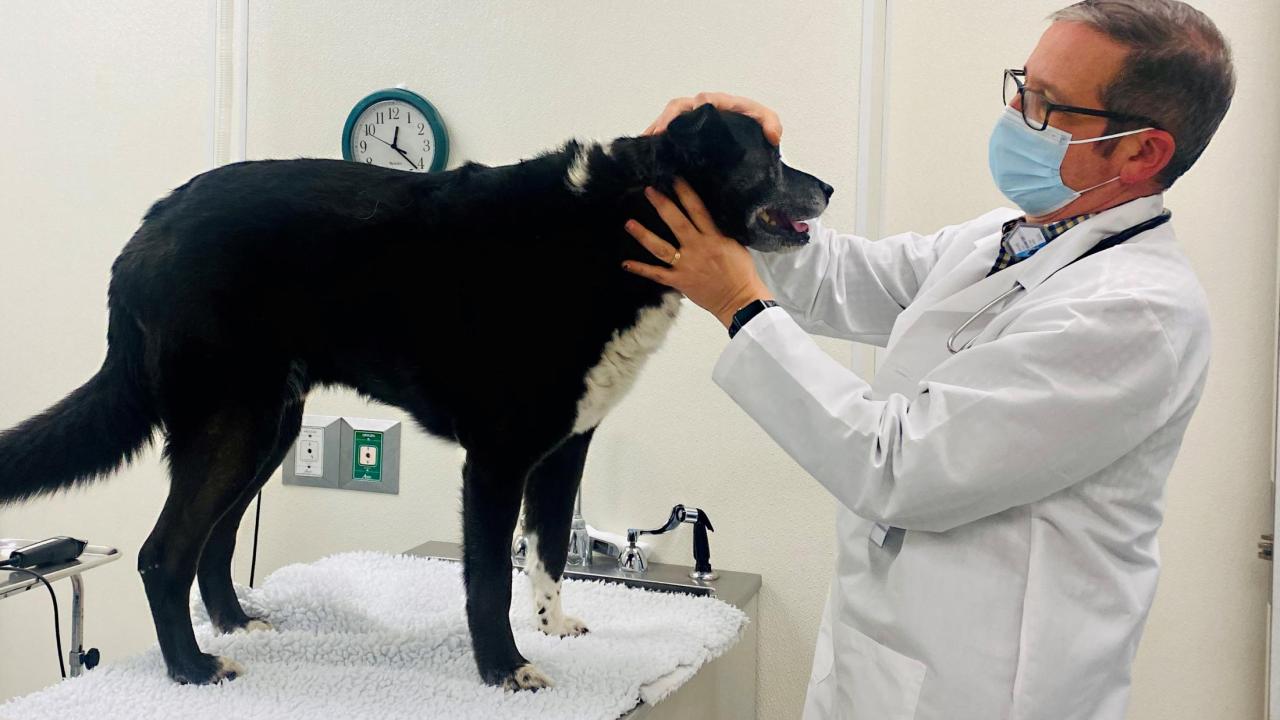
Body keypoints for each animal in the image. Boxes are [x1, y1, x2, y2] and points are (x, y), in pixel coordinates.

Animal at [0, 103, 829, 686]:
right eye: (770, 158)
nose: (825, 185)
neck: (616, 216)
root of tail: (146, 233)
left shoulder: (565, 449)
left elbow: (548, 550)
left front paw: (552, 625)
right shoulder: (497, 458)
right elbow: (488, 577)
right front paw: (504, 670)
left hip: (267, 423)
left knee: (217, 542)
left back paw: (236, 626)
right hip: (235, 419)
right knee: (163, 552)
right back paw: (193, 669)